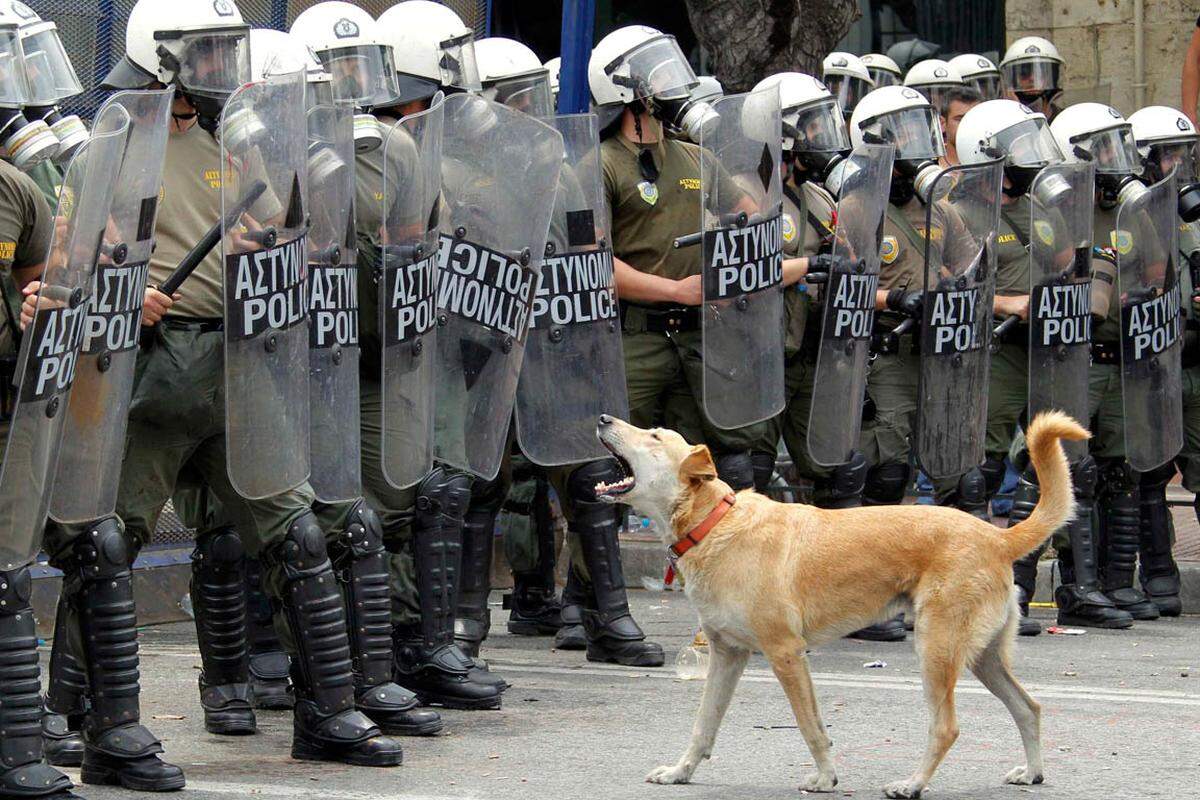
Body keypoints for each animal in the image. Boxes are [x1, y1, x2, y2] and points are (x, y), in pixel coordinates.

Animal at [595, 410, 1094, 796]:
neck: (714, 523)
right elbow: (704, 725)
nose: (602, 417)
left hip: (937, 650)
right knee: (1029, 708)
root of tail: (996, 535)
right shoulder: (726, 654)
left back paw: (913, 784)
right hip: (981, 657)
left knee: (946, 727)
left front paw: (824, 778)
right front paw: (680, 773)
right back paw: (1032, 772)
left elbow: (811, 728)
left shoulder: (786, 654)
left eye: (654, 435)